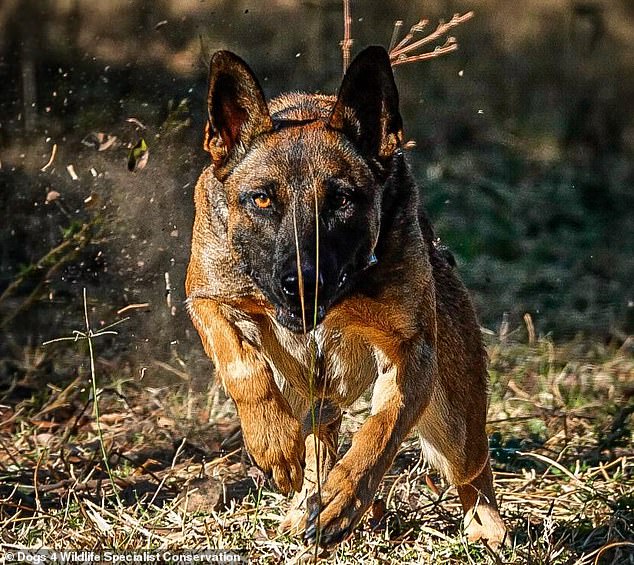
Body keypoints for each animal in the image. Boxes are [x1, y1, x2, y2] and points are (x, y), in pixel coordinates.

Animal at [185, 46, 506, 548]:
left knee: (472, 466)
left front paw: (344, 498)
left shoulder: (411, 352)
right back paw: (303, 502)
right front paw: (274, 443)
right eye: (261, 200)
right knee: (314, 435)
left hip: (454, 425)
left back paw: (484, 523)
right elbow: (242, 367)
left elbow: (379, 432)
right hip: (308, 389)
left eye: (340, 201)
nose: (302, 283)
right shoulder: (207, 299)